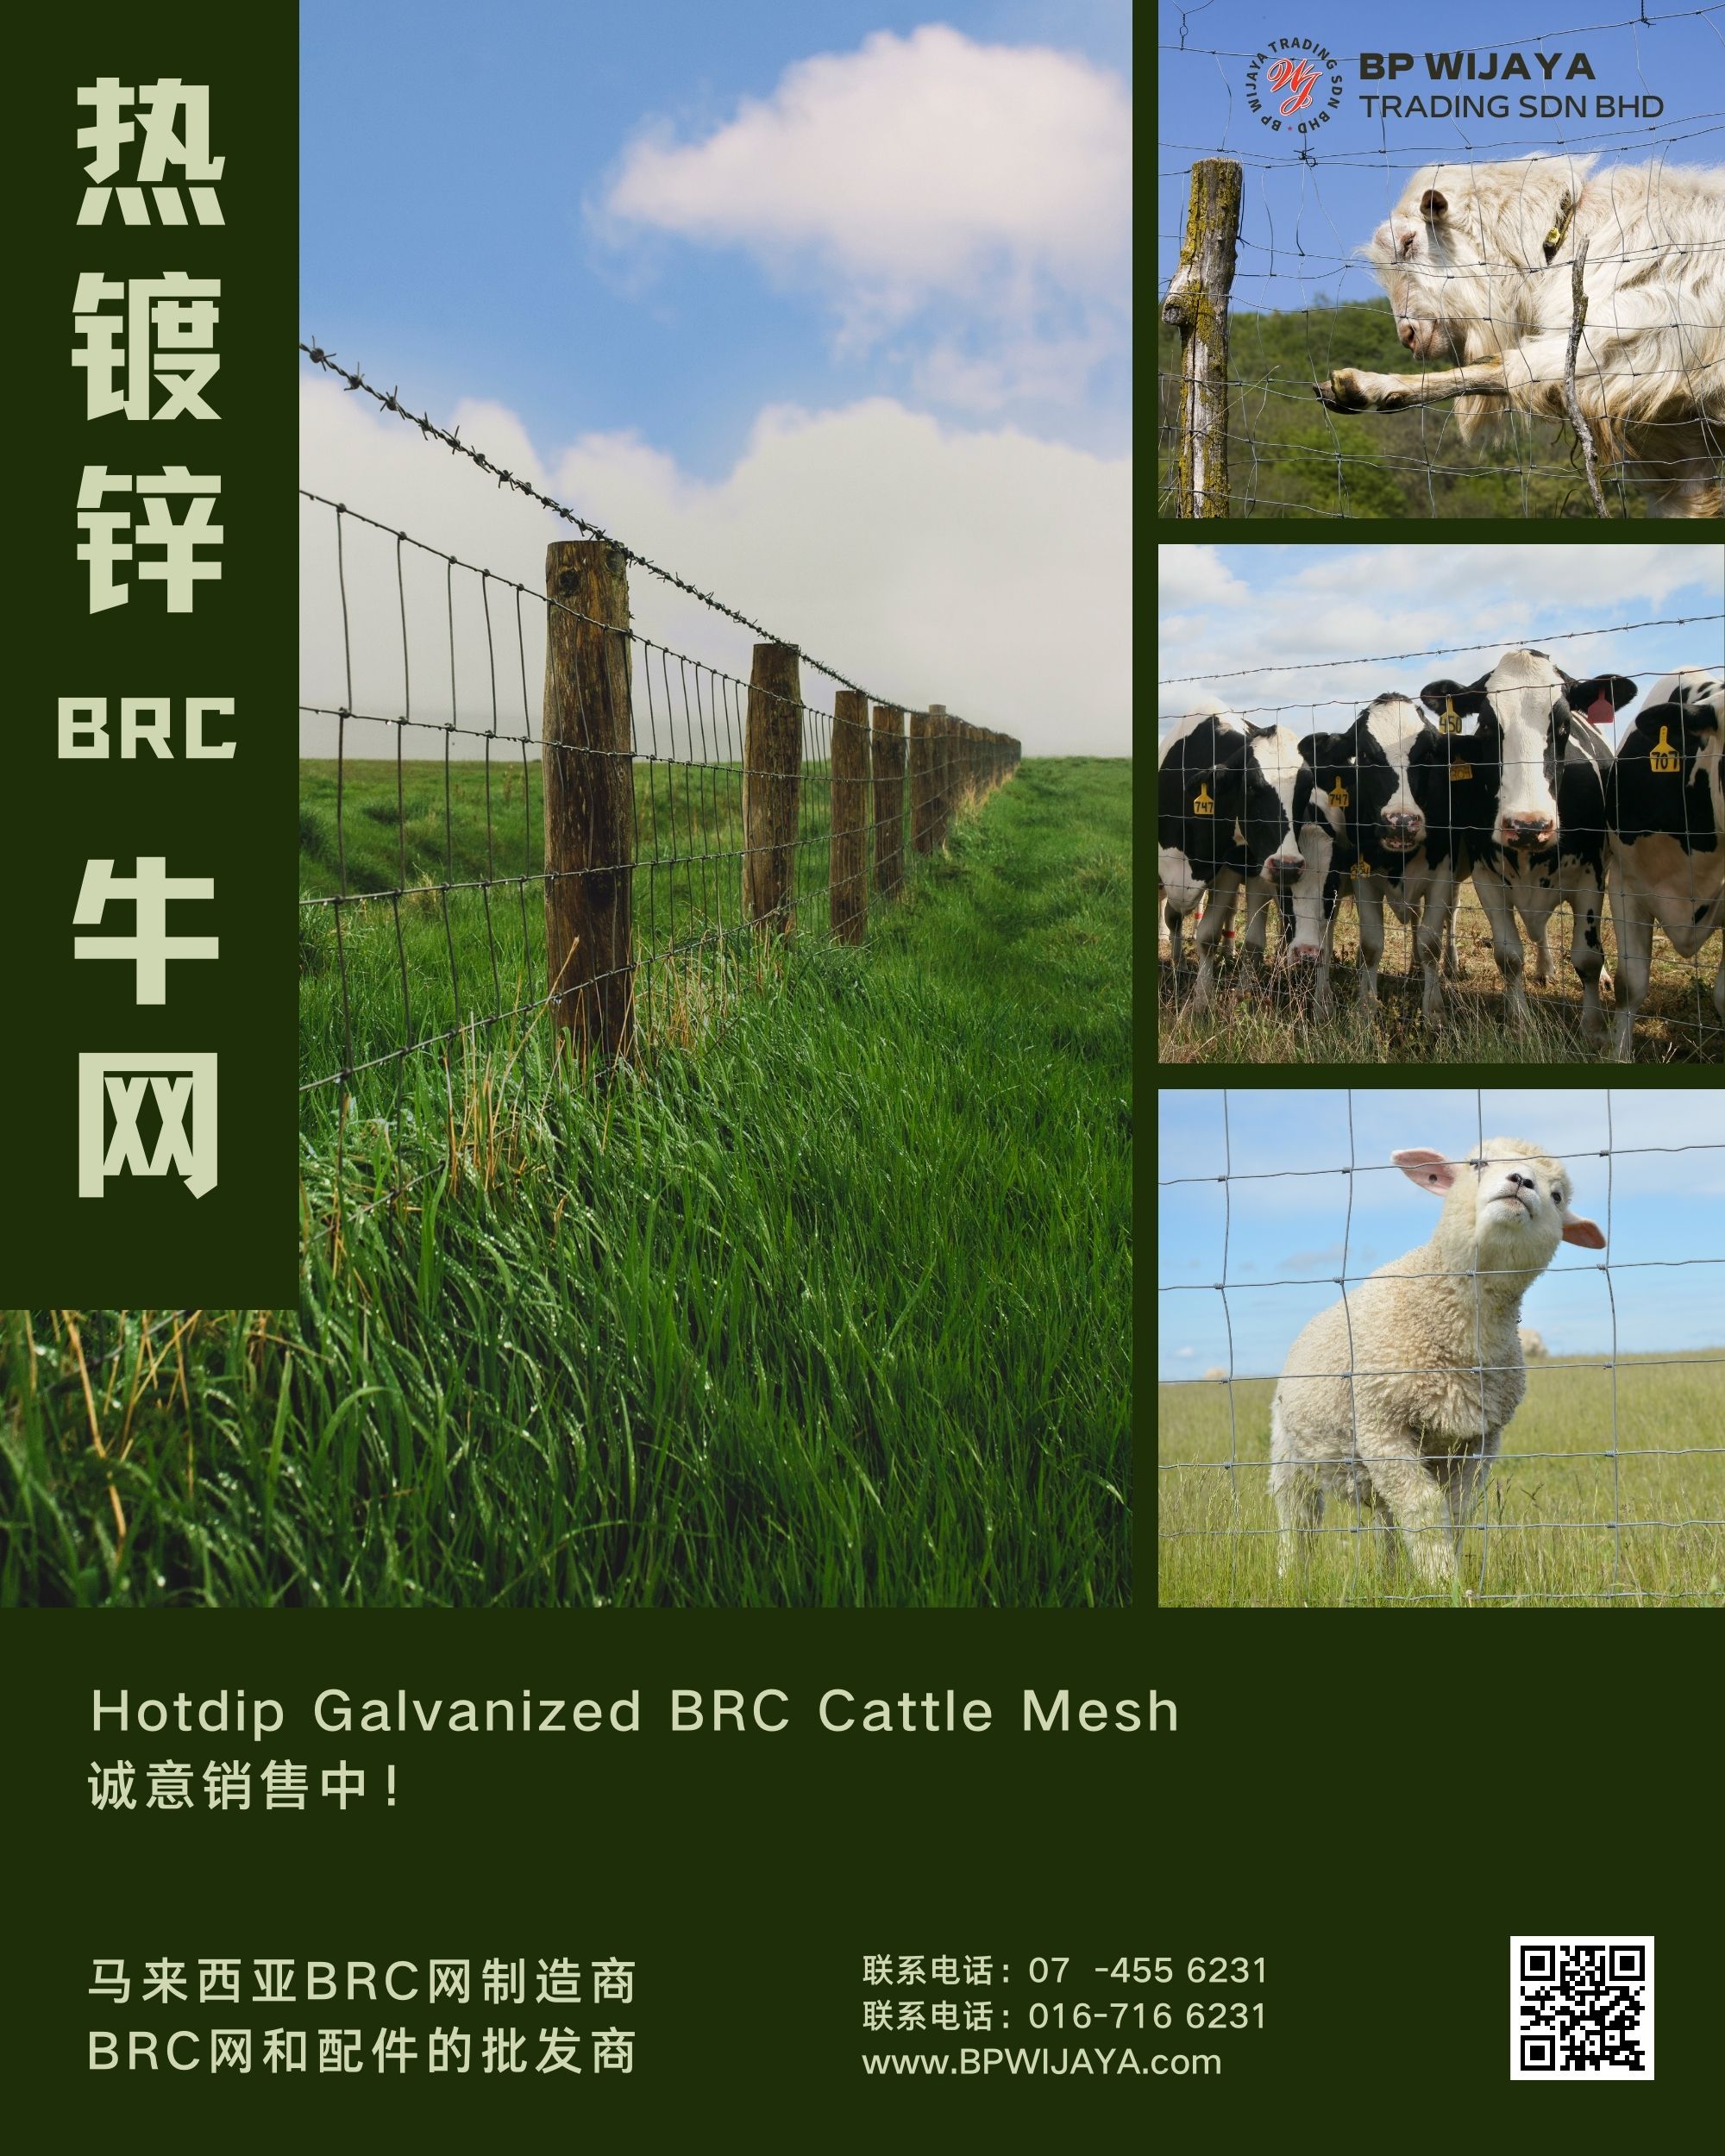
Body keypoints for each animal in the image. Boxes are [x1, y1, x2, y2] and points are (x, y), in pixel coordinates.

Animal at [1157, 708, 1343, 1007]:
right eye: (1252, 788)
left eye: (1304, 790)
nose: (1288, 866)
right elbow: (1178, 920)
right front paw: (1191, 986)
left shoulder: (1241, 867)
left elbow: (1231, 939)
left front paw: (1216, 998)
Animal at [1299, 693, 1466, 1024]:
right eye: (1363, 754)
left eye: (1428, 752)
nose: (1401, 821)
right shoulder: (1361, 877)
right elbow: (1371, 945)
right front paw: (1366, 1008)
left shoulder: (1443, 871)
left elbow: (1430, 943)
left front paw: (1434, 1012)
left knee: (1448, 915)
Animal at [1315, 156, 1725, 517]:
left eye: (1410, 241)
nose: (1408, 335)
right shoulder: (1679, 434)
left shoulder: (1634, 336)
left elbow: (1500, 369)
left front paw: (1369, 386)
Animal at [1415, 652, 1632, 1041]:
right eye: (1487, 726)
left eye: (1563, 726)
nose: (1528, 826)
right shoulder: (1487, 876)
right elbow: (1509, 956)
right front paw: (1519, 1022)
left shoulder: (1591, 876)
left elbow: (1588, 957)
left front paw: (1592, 1028)